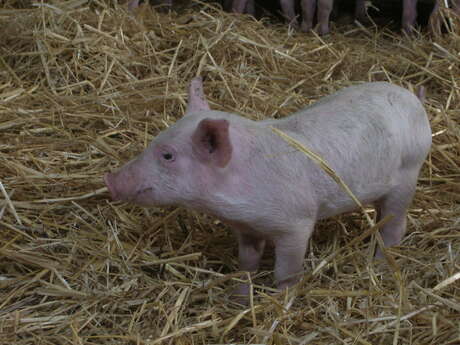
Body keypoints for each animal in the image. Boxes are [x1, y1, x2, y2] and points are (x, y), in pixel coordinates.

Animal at [104, 76, 432, 296]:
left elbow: (285, 272)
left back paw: (378, 265)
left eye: (168, 155)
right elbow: (246, 262)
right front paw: (238, 298)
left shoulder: (297, 223)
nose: (110, 180)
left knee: (396, 225)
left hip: (409, 172)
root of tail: (413, 98)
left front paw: (280, 302)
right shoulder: (246, 227)